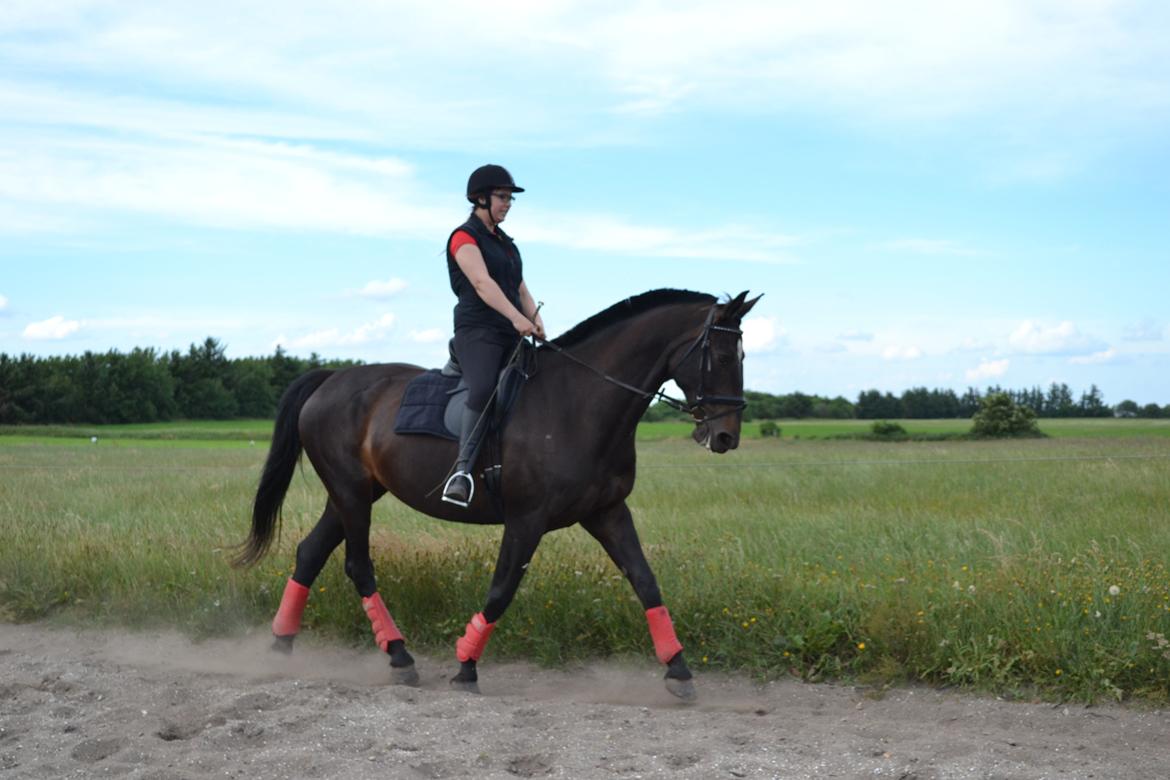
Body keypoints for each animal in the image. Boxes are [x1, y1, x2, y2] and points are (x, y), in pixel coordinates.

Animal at [237, 288, 762, 701]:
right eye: (719, 356)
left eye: (741, 358)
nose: (726, 437)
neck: (579, 403)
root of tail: (331, 379)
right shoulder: (527, 520)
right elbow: (502, 589)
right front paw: (466, 667)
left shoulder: (608, 512)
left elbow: (646, 582)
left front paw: (679, 669)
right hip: (350, 493)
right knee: (357, 565)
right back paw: (400, 657)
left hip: (356, 492)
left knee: (310, 553)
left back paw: (283, 646)